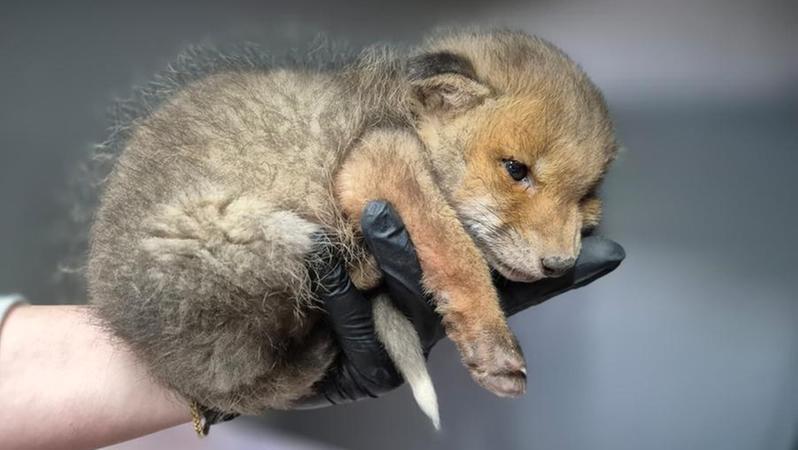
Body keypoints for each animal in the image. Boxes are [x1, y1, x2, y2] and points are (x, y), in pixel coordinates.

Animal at [87, 29, 617, 429]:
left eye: (587, 195)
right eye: (515, 169)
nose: (559, 264)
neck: (400, 115)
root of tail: (147, 351)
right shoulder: (376, 161)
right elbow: (457, 252)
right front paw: (493, 346)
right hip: (270, 231)